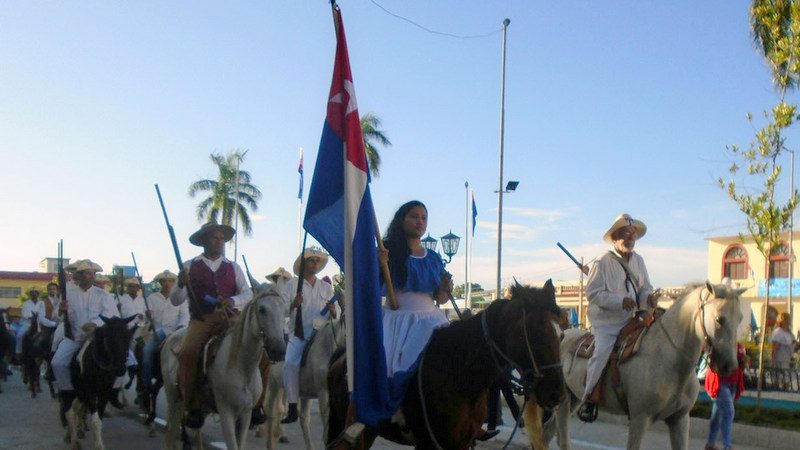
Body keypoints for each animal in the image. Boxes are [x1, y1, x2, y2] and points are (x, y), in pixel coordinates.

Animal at [64, 314, 136, 448]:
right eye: (108, 340)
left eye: (127, 339)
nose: (120, 369)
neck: (99, 367)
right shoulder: (90, 392)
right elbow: (95, 420)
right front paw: (98, 446)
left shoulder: (104, 392)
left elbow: (99, 418)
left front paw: (98, 443)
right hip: (76, 391)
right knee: (69, 411)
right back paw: (72, 440)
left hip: (82, 394)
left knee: (75, 410)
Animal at [161, 284, 286, 450]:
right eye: (262, 309)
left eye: (285, 310)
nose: (279, 350)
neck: (241, 367)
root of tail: (171, 336)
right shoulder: (227, 413)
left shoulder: (245, 415)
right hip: (174, 399)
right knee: (171, 433)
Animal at [324, 280, 564, 448]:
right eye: (531, 334)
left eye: (562, 333)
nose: (556, 394)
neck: (459, 374)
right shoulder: (429, 443)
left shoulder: (462, 443)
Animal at [552, 282, 744, 450]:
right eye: (719, 319)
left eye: (740, 318)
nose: (728, 366)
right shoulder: (640, 419)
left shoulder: (680, 419)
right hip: (564, 402)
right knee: (562, 439)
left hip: (575, 399)